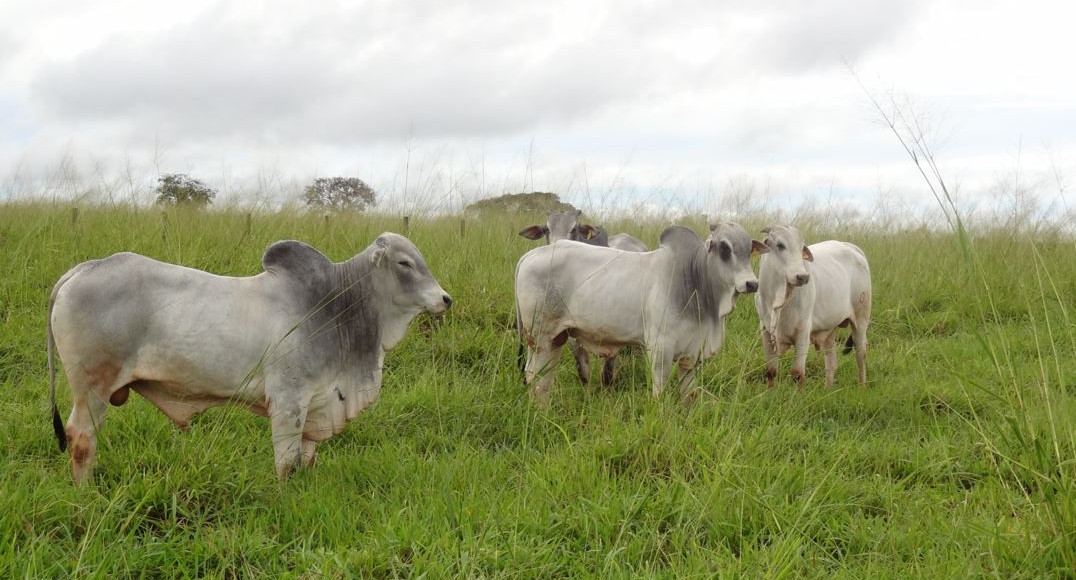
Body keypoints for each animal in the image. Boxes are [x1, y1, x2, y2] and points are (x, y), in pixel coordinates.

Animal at [45, 233, 449, 484]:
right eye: (405, 263)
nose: (445, 299)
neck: (338, 304)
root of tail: (84, 268)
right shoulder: (289, 399)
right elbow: (287, 462)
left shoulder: (319, 402)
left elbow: (307, 458)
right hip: (91, 388)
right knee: (81, 438)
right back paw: (85, 492)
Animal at [753, 224, 869, 387]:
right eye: (780, 245)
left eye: (801, 247)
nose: (803, 277)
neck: (778, 300)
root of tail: (850, 247)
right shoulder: (766, 331)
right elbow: (771, 371)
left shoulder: (803, 332)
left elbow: (797, 374)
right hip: (830, 328)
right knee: (831, 361)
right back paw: (827, 388)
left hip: (861, 320)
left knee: (860, 355)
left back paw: (862, 386)